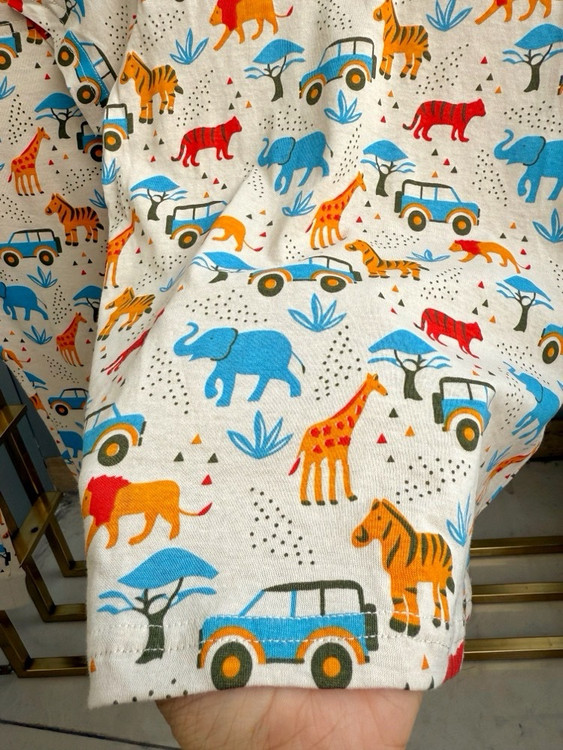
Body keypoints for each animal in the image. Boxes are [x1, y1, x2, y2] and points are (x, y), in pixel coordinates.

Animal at [173, 322, 305, 407]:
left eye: (210, 339)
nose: (189, 324)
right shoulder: (223, 359)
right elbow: (216, 374)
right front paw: (212, 394)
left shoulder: (229, 359)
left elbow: (227, 378)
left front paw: (220, 403)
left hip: (275, 361)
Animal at [289, 373, 388, 505]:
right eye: (378, 385)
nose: (386, 393)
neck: (346, 424)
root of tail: (304, 436)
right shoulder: (337, 453)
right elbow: (337, 471)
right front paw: (336, 499)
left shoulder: (340, 453)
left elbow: (343, 468)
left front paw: (348, 496)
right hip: (312, 454)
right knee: (307, 470)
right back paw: (306, 500)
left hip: (316, 454)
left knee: (315, 469)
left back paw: (318, 500)